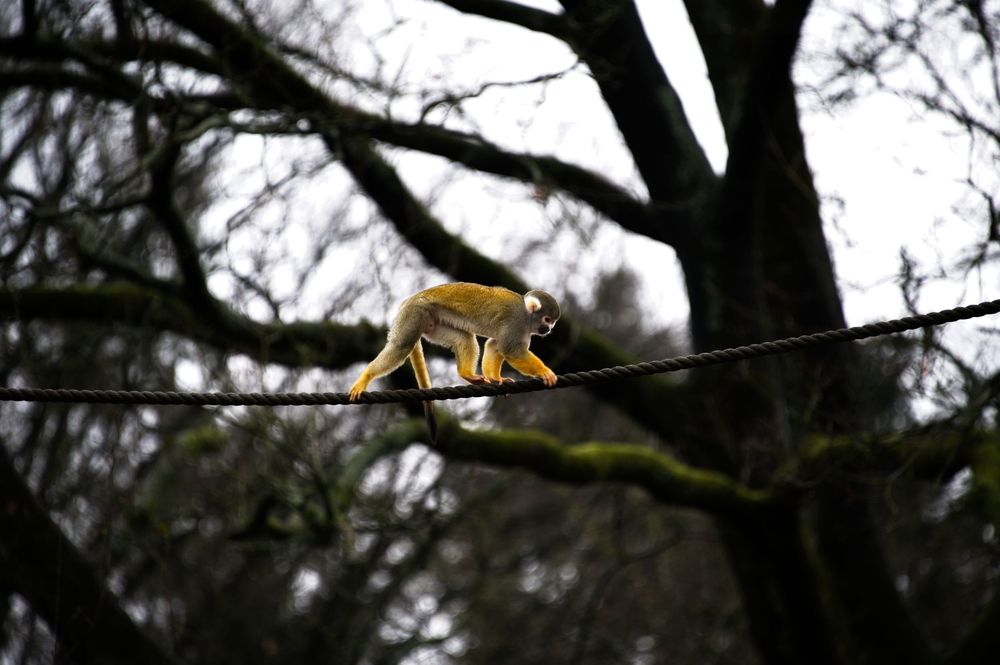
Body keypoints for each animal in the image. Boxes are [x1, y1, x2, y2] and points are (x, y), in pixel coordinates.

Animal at [348, 283, 561, 440]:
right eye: (547, 319)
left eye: (553, 322)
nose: (549, 329)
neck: (527, 316)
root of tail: (409, 300)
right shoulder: (516, 322)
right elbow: (510, 350)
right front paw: (545, 372)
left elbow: (494, 346)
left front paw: (496, 380)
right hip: (415, 313)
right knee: (401, 346)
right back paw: (366, 376)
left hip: (433, 324)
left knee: (463, 338)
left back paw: (467, 374)